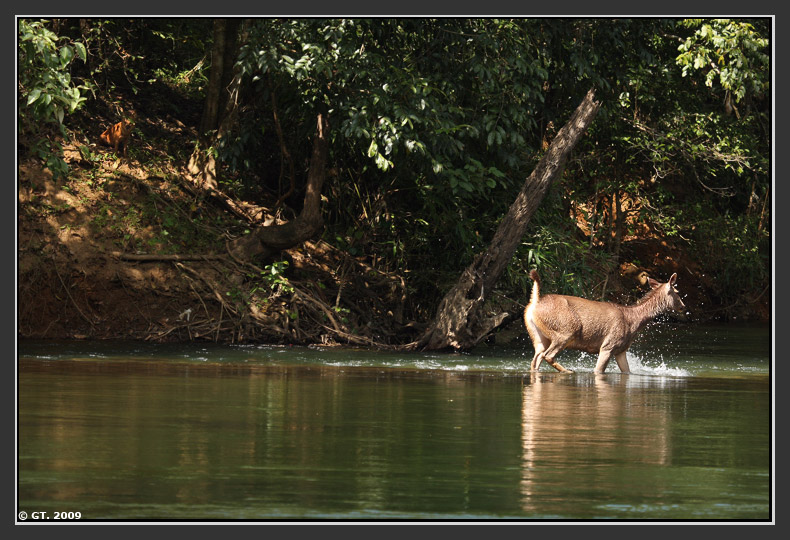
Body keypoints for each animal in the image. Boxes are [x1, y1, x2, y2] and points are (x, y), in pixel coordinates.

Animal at [524, 270, 688, 376]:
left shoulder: (621, 350)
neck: (634, 321)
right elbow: (598, 371)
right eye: (677, 292)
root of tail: (534, 304)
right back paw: (568, 371)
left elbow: (627, 371)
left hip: (539, 337)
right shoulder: (608, 345)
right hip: (565, 330)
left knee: (536, 359)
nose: (683, 306)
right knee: (547, 355)